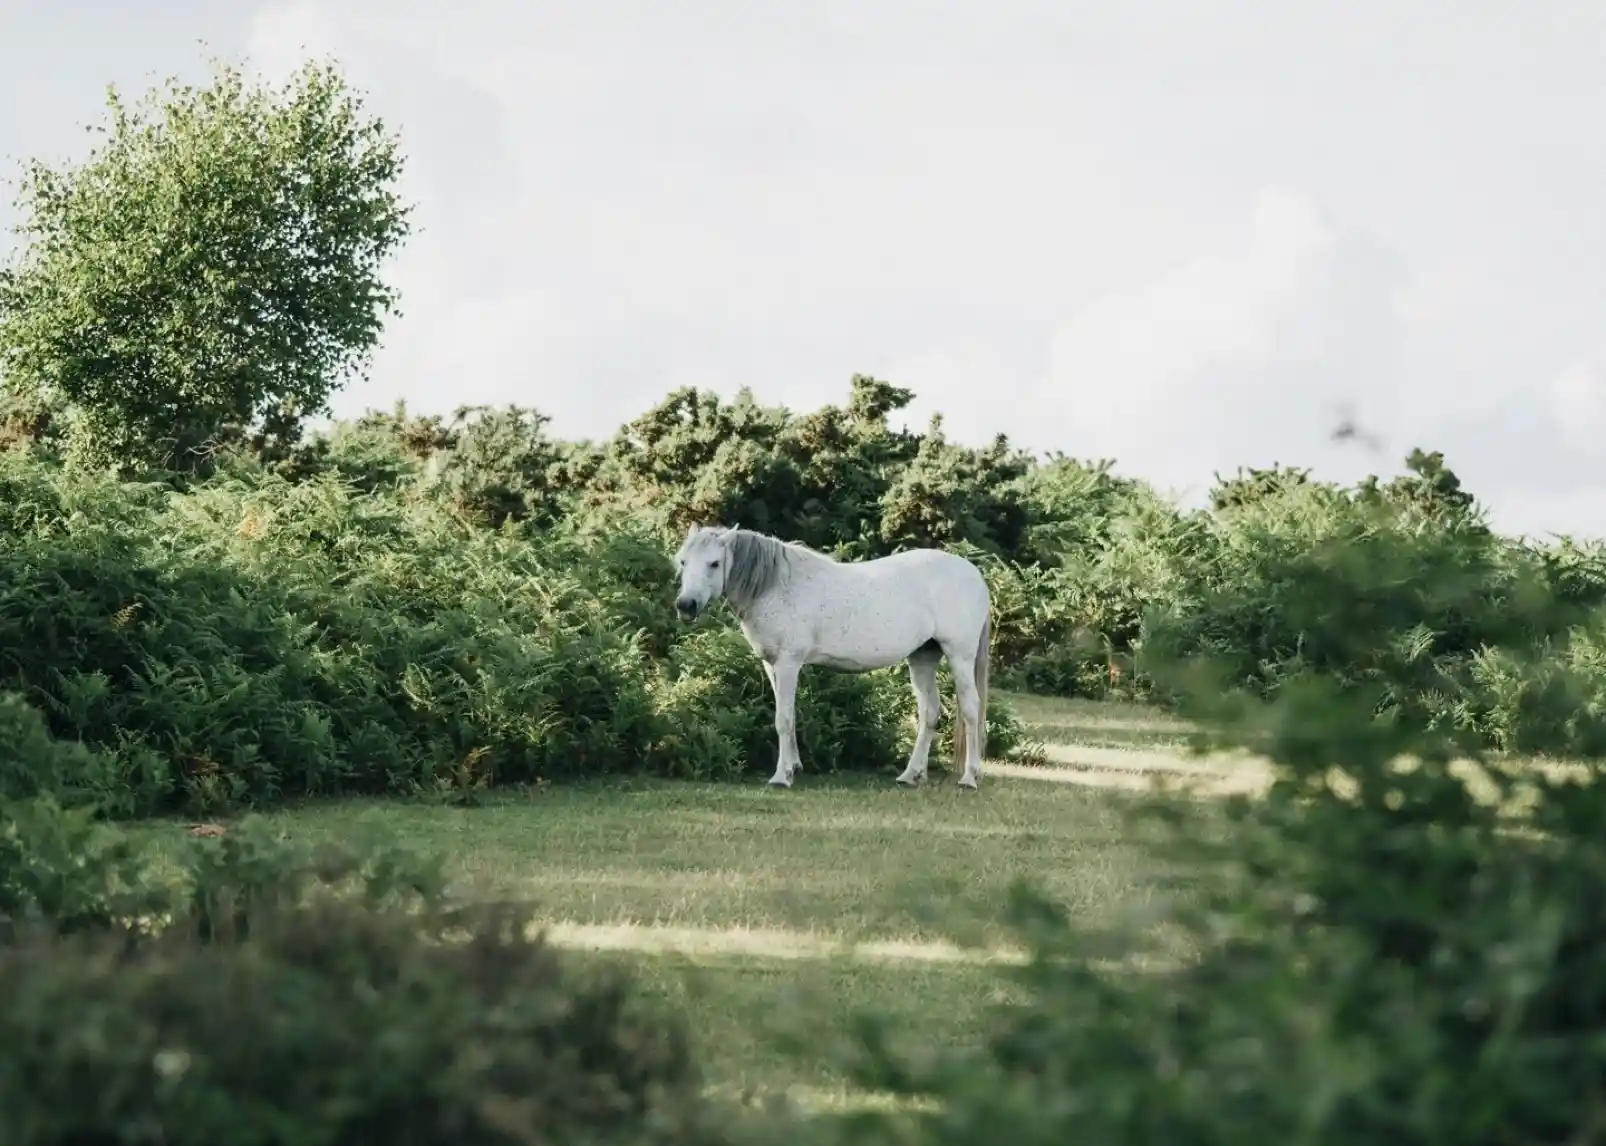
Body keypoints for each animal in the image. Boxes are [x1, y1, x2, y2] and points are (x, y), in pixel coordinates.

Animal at [671, 524, 992, 790]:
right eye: (683, 561)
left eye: (714, 563)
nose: (686, 605)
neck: (776, 586)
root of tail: (975, 575)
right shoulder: (772, 665)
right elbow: (789, 715)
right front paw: (793, 767)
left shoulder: (788, 663)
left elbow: (782, 719)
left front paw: (781, 777)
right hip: (923, 657)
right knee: (929, 712)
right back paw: (911, 775)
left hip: (959, 656)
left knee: (971, 709)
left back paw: (969, 778)